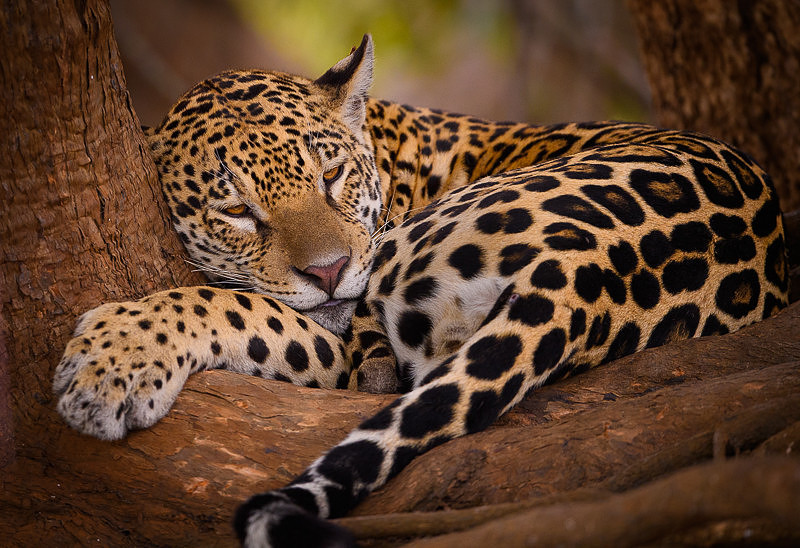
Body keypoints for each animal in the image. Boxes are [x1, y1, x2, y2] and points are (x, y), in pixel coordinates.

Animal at [52, 35, 788, 547]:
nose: (329, 271)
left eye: (331, 176)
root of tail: (583, 272)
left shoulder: (351, 355)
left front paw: (109, 366)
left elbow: (226, 298)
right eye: (236, 212)